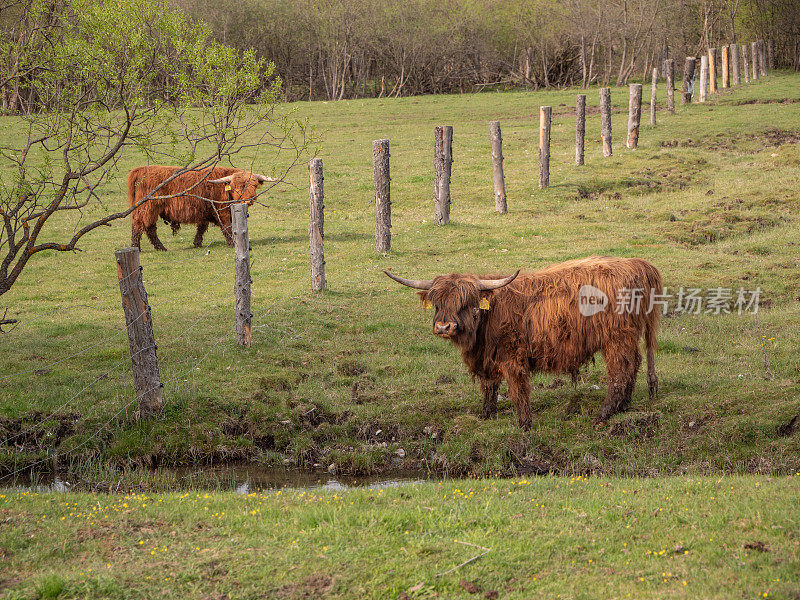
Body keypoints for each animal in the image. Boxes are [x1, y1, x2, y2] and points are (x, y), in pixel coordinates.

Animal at [127, 164, 272, 251]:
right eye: (238, 186)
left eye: (254, 185)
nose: (249, 200)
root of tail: (140, 170)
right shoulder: (222, 212)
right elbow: (227, 227)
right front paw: (232, 243)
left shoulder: (205, 212)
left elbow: (201, 228)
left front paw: (197, 243)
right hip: (148, 208)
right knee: (141, 226)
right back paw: (138, 247)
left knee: (148, 227)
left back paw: (159, 248)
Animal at [384, 255, 660, 428]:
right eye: (437, 303)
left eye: (466, 302)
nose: (444, 327)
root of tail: (638, 265)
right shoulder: (487, 358)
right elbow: (489, 388)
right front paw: (486, 417)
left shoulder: (512, 357)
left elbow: (518, 391)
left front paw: (524, 424)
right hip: (628, 336)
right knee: (634, 364)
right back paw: (624, 406)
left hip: (616, 338)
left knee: (620, 372)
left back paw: (603, 415)